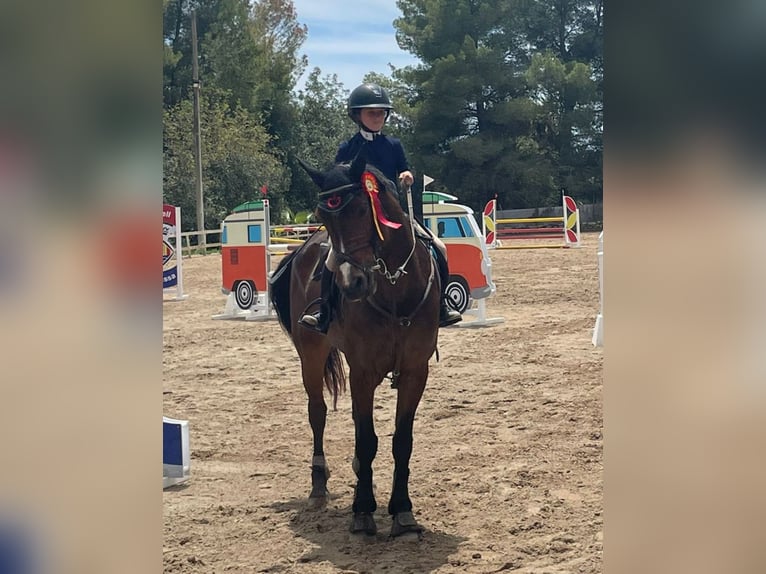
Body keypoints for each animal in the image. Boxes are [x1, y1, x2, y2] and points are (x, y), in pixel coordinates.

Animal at [268, 150, 441, 537]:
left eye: (364, 209)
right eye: (322, 216)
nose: (353, 284)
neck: (393, 289)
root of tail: (302, 249)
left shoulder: (414, 372)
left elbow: (401, 440)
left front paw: (402, 511)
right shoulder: (363, 371)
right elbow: (367, 439)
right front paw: (362, 511)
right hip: (311, 355)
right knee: (317, 411)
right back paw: (319, 481)